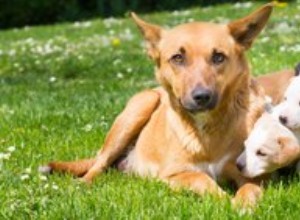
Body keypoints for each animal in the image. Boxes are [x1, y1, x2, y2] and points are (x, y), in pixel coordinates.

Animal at [41, 4, 274, 208]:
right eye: (178, 58)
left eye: (218, 57)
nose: (202, 96)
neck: (207, 130)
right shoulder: (174, 174)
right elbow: (201, 179)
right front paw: (224, 200)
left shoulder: (254, 175)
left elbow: (249, 189)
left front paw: (242, 205)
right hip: (141, 105)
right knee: (98, 165)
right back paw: (82, 184)